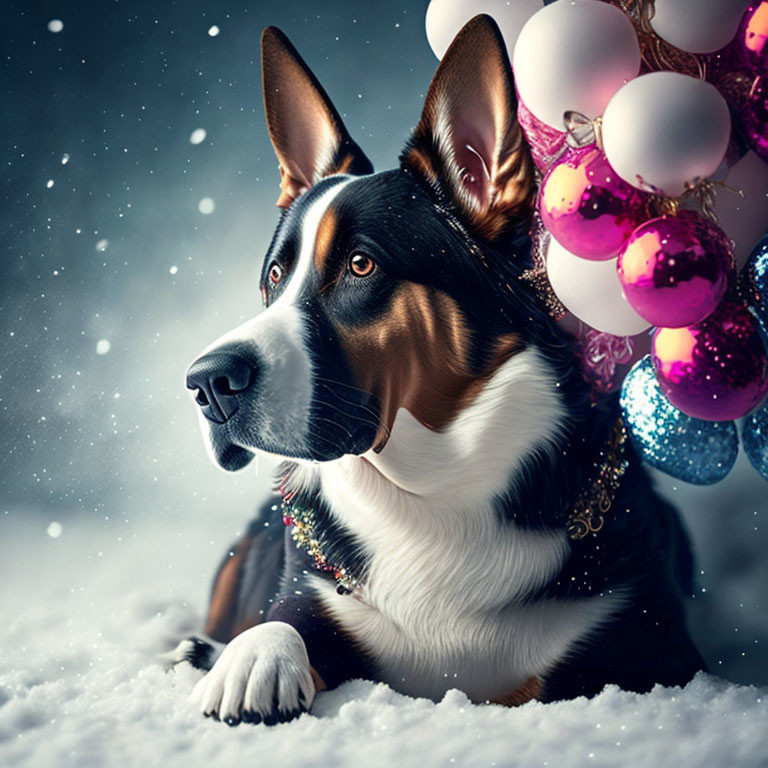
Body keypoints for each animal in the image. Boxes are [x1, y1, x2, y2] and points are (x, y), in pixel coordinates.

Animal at [177, 16, 704, 728]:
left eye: (361, 265)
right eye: (275, 278)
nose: (206, 383)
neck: (430, 490)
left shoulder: (659, 648)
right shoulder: (308, 591)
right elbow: (283, 620)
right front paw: (253, 657)